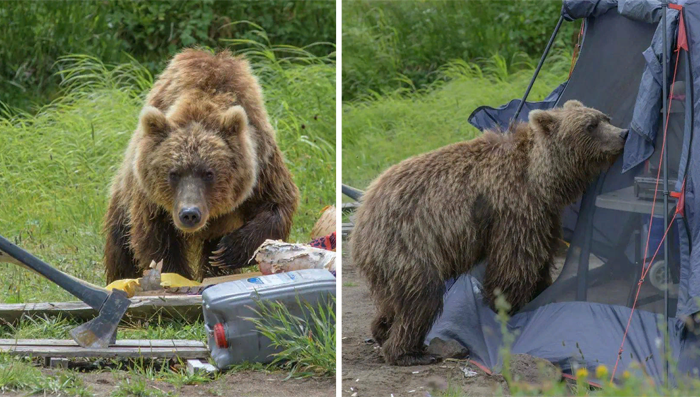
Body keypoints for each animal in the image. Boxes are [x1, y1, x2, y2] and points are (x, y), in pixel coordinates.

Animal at [104, 49, 298, 284]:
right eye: (173, 173)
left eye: (209, 173)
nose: (190, 214)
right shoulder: (152, 201)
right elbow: (157, 241)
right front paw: (176, 276)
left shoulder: (261, 164)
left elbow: (278, 206)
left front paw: (227, 251)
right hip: (124, 198)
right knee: (121, 246)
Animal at [350, 100, 628, 366]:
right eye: (590, 125)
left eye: (605, 118)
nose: (623, 134)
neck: (541, 177)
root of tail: (363, 210)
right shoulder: (514, 207)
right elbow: (515, 263)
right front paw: (508, 308)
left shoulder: (545, 215)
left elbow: (540, 257)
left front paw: (541, 291)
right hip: (410, 241)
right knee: (421, 297)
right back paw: (410, 352)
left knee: (394, 300)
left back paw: (383, 330)